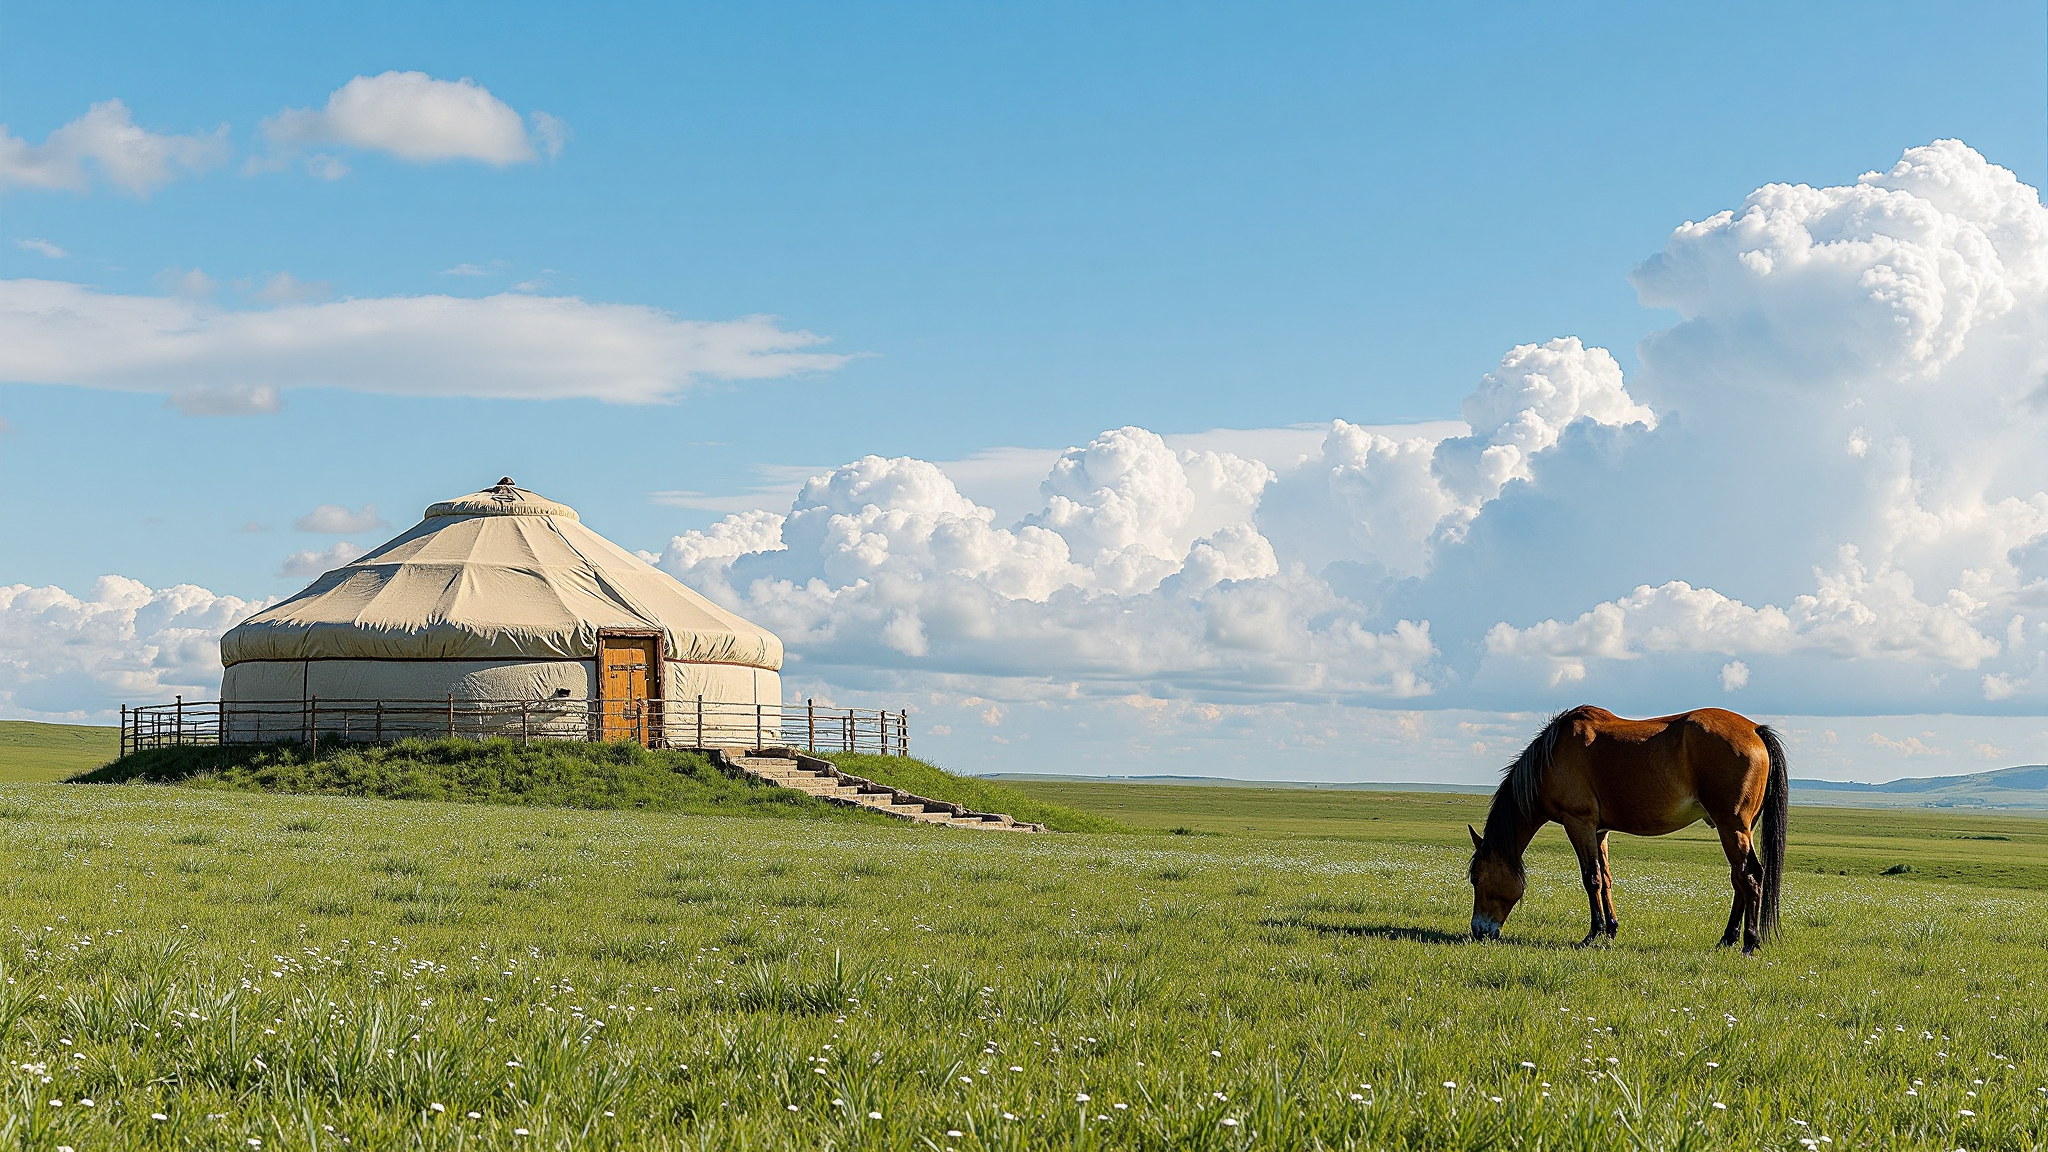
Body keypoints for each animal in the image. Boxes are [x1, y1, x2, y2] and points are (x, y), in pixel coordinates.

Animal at [1466, 705, 1788, 954]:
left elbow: (1591, 879)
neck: (1551, 757)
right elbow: (1606, 878)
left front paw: (1592, 934)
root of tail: (1755, 729)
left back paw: (1749, 942)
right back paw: (1727, 939)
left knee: (1750, 877)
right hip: (1740, 829)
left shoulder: (1578, 823)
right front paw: (1611, 930)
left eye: (1476, 878)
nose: (1478, 931)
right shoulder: (1599, 831)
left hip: (1731, 826)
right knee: (1739, 879)